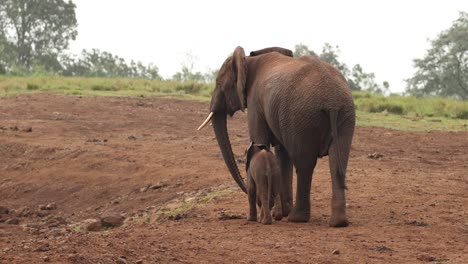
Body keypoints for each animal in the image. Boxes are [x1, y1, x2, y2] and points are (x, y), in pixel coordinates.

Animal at [197, 46, 354, 227]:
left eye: (218, 83)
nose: (245, 188)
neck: (248, 59)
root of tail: (332, 101)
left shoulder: (255, 103)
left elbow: (261, 142)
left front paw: (272, 213)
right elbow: (281, 152)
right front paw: (280, 212)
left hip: (301, 116)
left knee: (304, 163)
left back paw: (297, 218)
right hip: (344, 114)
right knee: (337, 162)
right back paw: (338, 222)